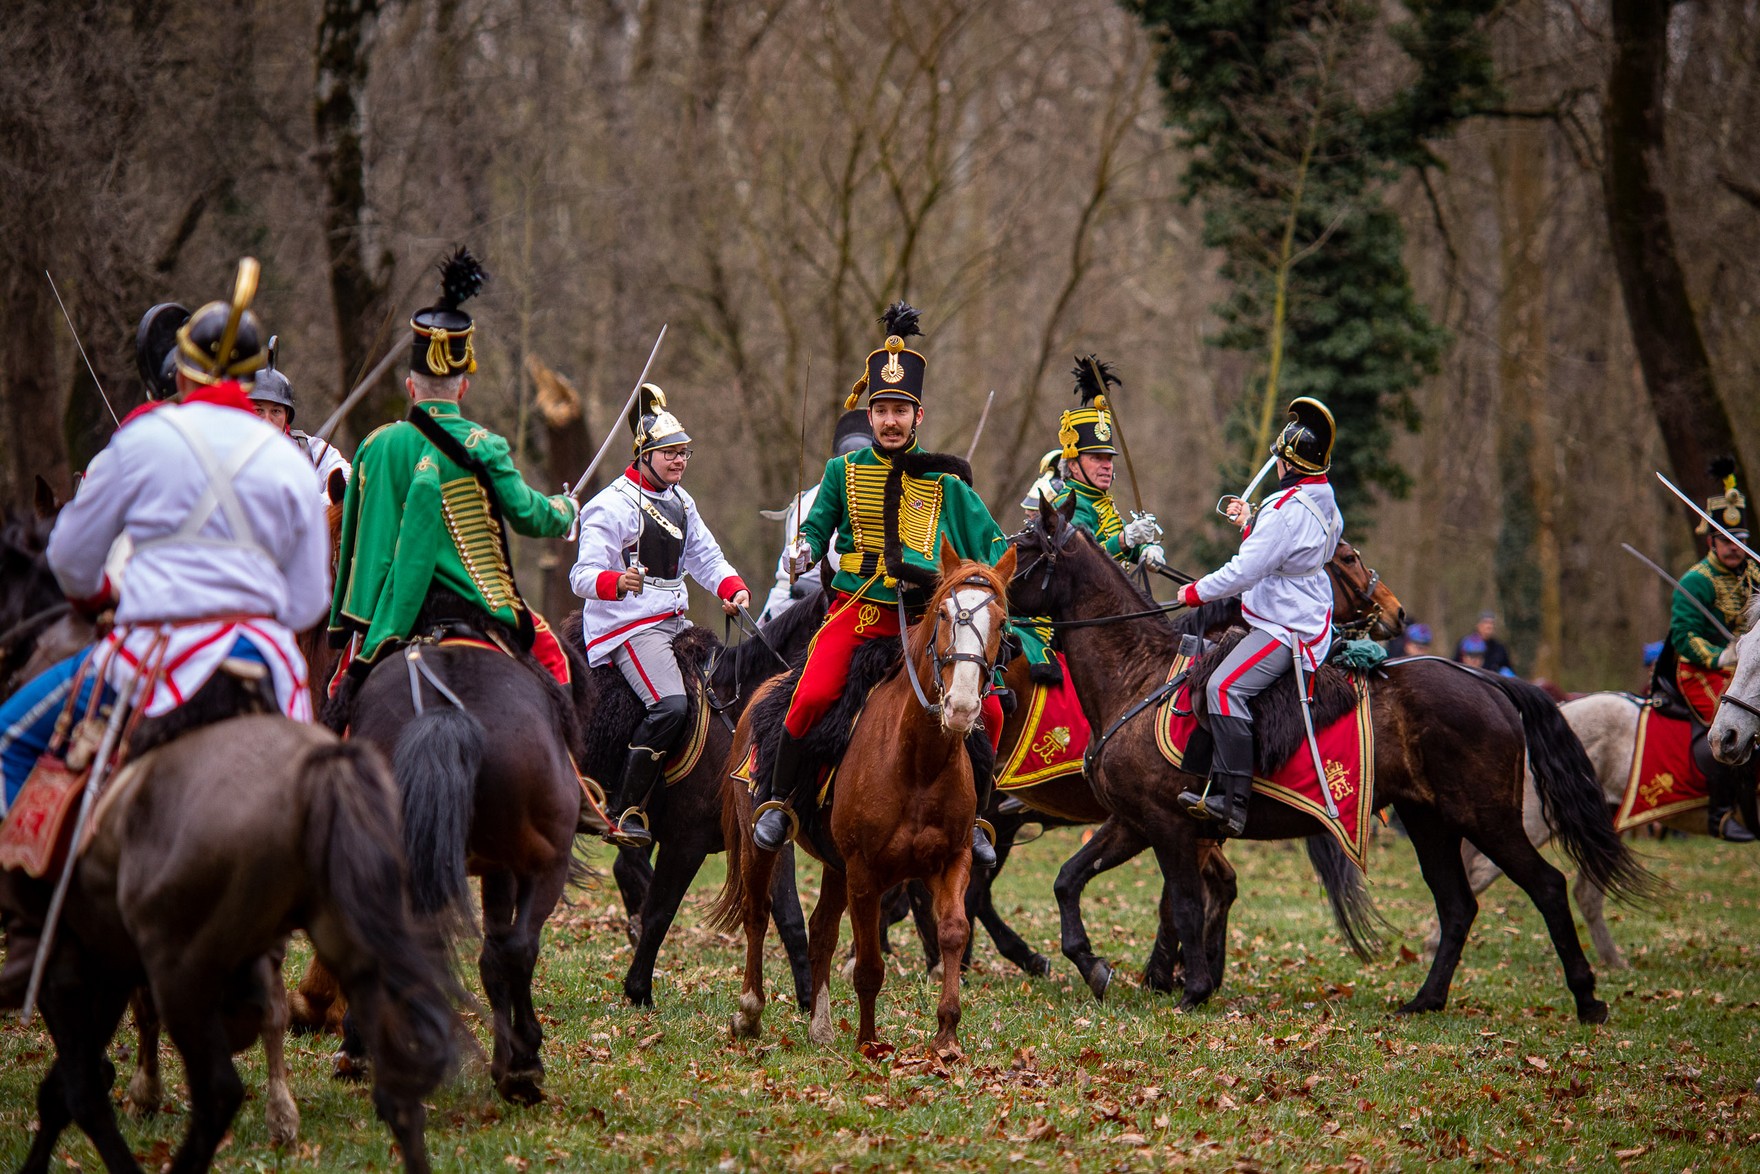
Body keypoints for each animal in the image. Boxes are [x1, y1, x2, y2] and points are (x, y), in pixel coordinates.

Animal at [714, 545, 1020, 1049]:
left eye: (1001, 622)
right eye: (942, 614)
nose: (961, 707)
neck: (918, 761)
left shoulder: (952, 860)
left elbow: (953, 932)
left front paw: (947, 1035)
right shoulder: (864, 872)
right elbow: (870, 965)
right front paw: (870, 1044)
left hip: (835, 863)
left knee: (820, 929)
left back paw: (819, 1026)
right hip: (762, 844)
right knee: (757, 914)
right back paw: (749, 1012)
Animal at [1006, 499, 1647, 1020]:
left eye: (1026, 550)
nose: (983, 588)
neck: (1136, 676)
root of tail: (1488, 682)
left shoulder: (1167, 826)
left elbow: (1183, 904)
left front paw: (1189, 989)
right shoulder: (1134, 822)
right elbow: (1069, 880)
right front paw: (1094, 965)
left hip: (1487, 818)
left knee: (1546, 887)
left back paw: (1587, 998)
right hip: (1430, 821)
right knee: (1458, 905)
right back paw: (1426, 1000)